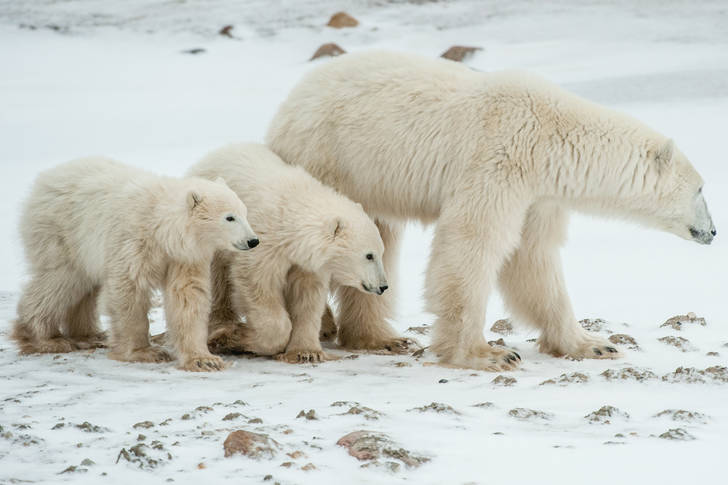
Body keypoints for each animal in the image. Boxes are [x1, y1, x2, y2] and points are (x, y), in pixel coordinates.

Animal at [12, 156, 258, 370]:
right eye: (229, 217)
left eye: (245, 213)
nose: (253, 240)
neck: (160, 228)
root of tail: (46, 177)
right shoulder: (134, 242)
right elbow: (129, 289)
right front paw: (144, 352)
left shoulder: (183, 257)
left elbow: (187, 296)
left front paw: (204, 360)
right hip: (62, 233)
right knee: (60, 280)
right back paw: (45, 339)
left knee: (84, 286)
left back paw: (90, 335)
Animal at [188, 142, 392, 362]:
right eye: (369, 255)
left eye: (381, 252)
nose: (383, 286)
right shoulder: (264, 242)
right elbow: (256, 282)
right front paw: (234, 337)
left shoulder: (306, 263)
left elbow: (308, 298)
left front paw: (307, 351)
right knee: (217, 281)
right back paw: (220, 326)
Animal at [264, 50, 712, 370]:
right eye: (702, 188)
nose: (712, 232)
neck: (551, 137)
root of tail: (289, 102)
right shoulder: (499, 161)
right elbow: (472, 243)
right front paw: (487, 354)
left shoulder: (538, 195)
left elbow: (533, 259)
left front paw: (592, 344)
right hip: (330, 158)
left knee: (376, 240)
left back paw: (380, 337)